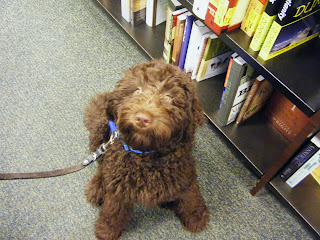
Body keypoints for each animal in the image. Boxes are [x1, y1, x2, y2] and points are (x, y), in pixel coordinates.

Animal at [85, 59, 210, 238]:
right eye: (137, 91)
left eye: (168, 97)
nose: (142, 118)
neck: (147, 156)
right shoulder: (119, 188)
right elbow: (113, 211)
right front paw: (106, 230)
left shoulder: (184, 176)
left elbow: (191, 197)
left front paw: (196, 217)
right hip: (101, 134)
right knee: (102, 166)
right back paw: (97, 188)